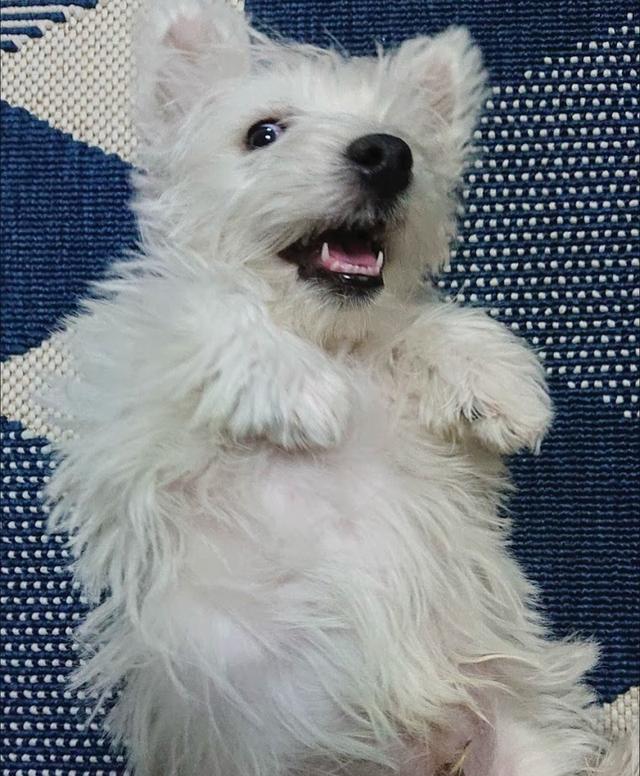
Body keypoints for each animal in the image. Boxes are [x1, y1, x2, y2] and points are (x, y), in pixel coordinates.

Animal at [43, 3, 636, 772]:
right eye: (263, 132)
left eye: (409, 141)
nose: (388, 154)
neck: (324, 338)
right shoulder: (127, 402)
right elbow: (199, 308)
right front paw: (304, 391)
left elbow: (412, 322)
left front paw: (498, 381)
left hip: (519, 744)